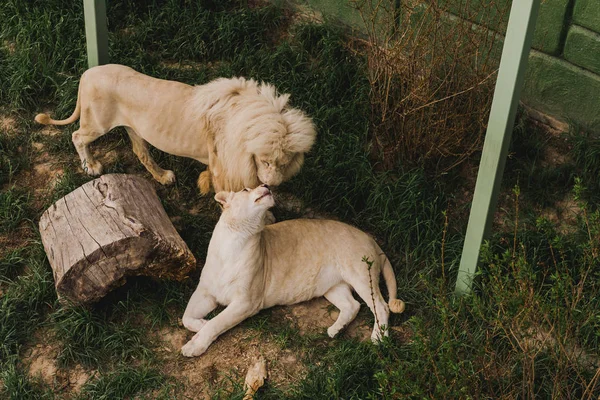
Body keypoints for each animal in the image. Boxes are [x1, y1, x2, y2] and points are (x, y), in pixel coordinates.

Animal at [33, 65, 316, 195]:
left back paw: (162, 177)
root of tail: (88, 72)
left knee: (141, 152)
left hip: (134, 128)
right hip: (97, 123)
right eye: (266, 161)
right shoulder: (224, 169)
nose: (273, 184)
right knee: (77, 136)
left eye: (285, 163)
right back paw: (90, 166)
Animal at [180, 184, 406, 356]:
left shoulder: (247, 302)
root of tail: (369, 238)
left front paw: (194, 345)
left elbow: (217, 323)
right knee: (352, 305)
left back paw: (378, 338)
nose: (265, 184)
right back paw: (335, 330)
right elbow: (186, 317)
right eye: (245, 188)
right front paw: (201, 323)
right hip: (334, 287)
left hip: (360, 275)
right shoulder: (205, 291)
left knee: (381, 306)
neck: (234, 242)